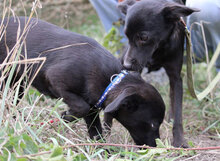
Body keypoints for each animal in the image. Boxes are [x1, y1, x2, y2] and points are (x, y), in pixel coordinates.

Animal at [0, 17, 165, 147]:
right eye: (153, 124)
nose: (155, 147)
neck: (110, 81)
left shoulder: (93, 109)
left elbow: (96, 132)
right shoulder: (56, 80)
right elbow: (81, 107)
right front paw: (66, 116)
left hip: (17, 85)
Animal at [117, 0, 199, 147]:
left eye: (144, 37)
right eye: (126, 35)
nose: (126, 65)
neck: (158, 48)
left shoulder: (176, 77)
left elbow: (178, 112)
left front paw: (179, 140)